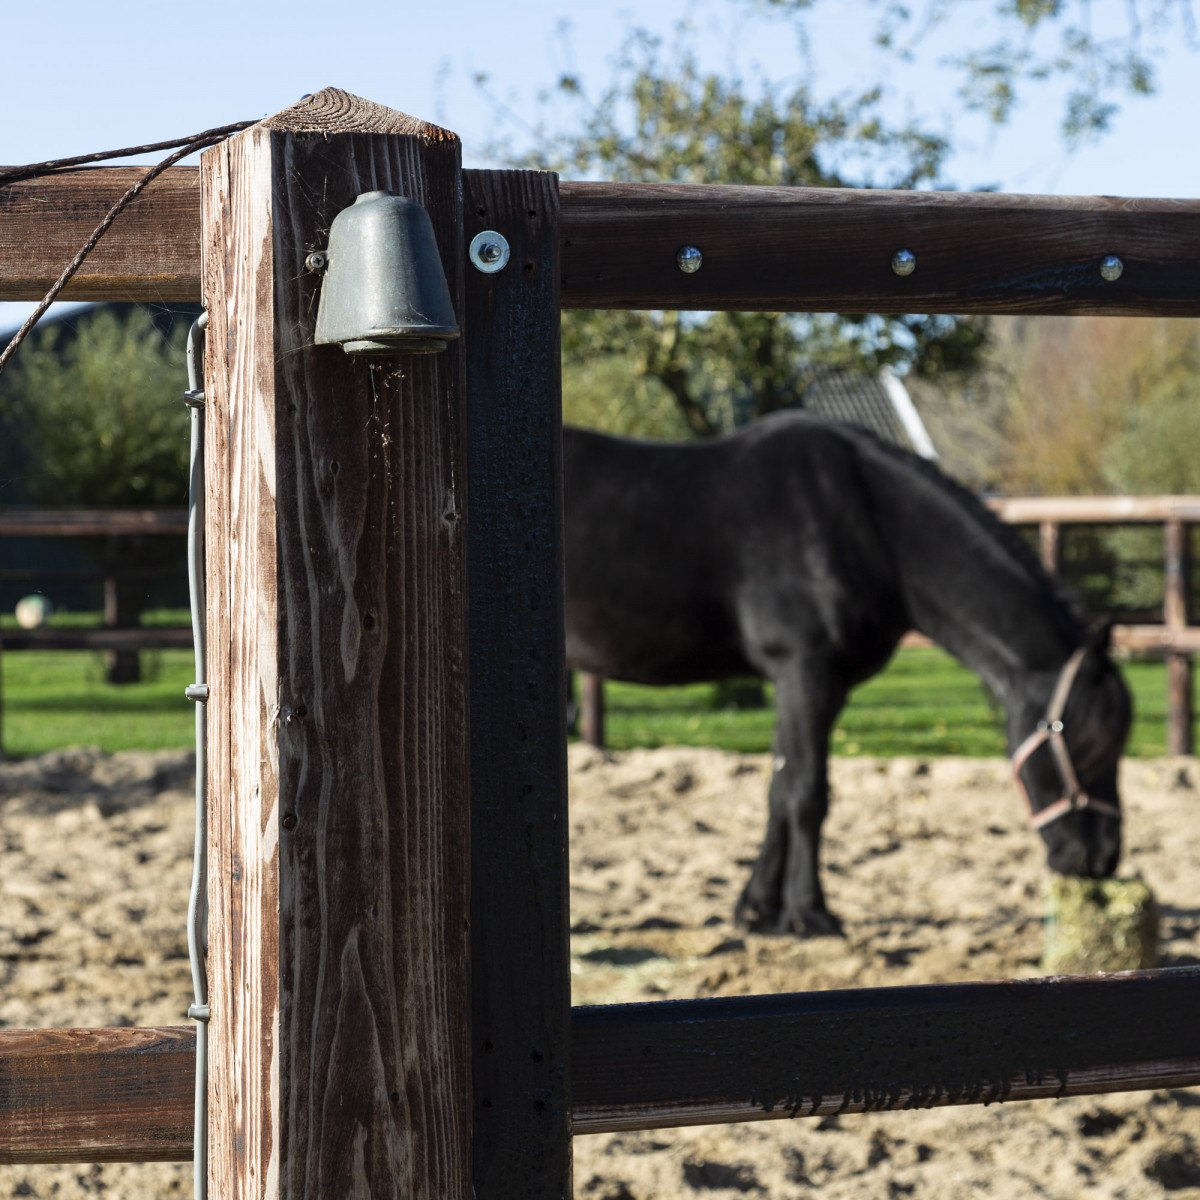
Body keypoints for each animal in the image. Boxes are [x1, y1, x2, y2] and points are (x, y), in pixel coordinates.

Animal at [564, 412, 1132, 936]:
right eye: (1084, 741)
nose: (1100, 858)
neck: (866, 524)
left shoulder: (814, 684)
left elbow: (780, 788)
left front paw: (758, 908)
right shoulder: (805, 672)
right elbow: (807, 793)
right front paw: (809, 913)